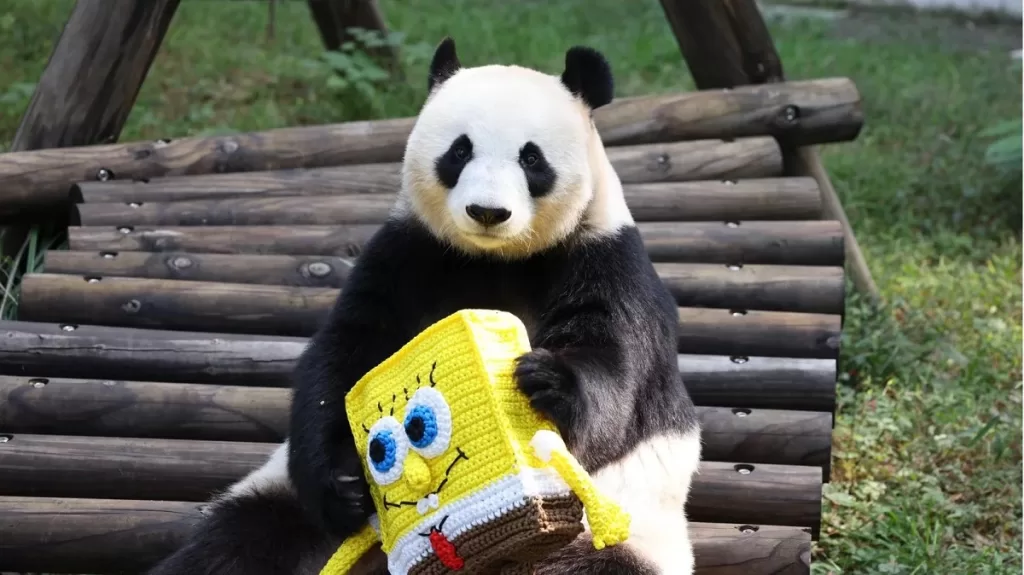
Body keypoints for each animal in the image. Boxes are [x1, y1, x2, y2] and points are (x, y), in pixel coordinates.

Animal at [146, 37, 702, 575]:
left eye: (532, 159)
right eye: (459, 151)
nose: (488, 212)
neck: (497, 259)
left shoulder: (603, 259)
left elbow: (616, 374)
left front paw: (546, 382)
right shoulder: (412, 252)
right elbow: (346, 353)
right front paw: (341, 484)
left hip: (623, 535)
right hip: (279, 503)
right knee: (238, 542)